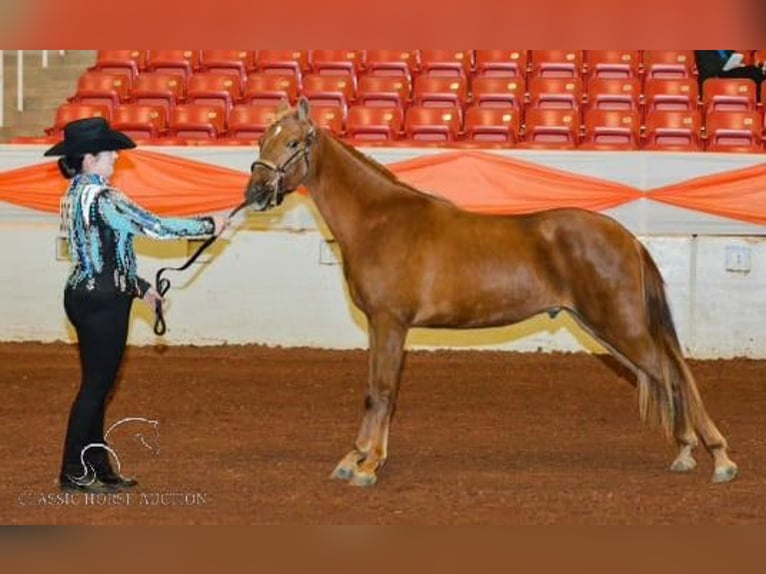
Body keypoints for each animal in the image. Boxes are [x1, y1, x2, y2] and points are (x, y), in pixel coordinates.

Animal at [246, 98, 736, 486]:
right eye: (262, 141)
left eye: (294, 142)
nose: (255, 191)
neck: (379, 219)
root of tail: (627, 238)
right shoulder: (378, 325)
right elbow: (372, 391)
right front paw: (355, 457)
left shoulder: (391, 323)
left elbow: (383, 391)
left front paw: (368, 465)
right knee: (668, 375)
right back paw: (687, 450)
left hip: (621, 326)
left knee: (675, 373)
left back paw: (719, 459)